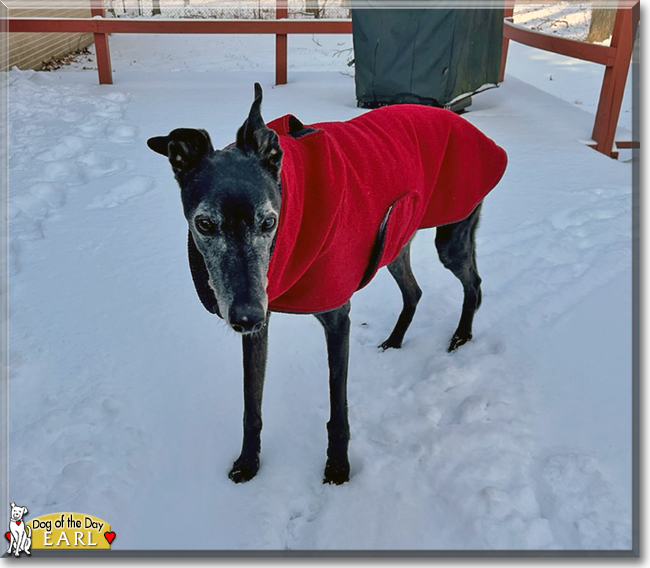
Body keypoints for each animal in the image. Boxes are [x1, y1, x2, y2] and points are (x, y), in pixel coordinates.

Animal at [148, 84, 506, 484]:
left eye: (269, 222)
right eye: (204, 224)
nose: (244, 317)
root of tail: (458, 117)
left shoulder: (337, 319)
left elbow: (338, 408)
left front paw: (337, 467)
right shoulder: (261, 321)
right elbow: (251, 405)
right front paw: (248, 461)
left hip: (452, 236)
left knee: (474, 283)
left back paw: (461, 336)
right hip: (396, 241)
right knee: (414, 290)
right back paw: (394, 341)